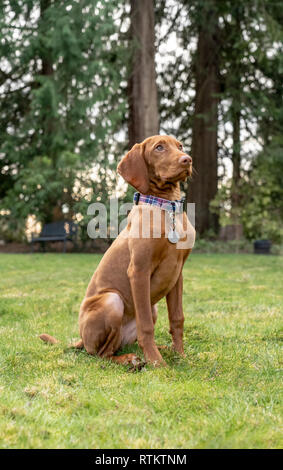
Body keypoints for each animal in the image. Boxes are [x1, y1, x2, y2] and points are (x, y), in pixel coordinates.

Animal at [40, 136, 195, 368]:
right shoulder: (139, 270)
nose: (187, 159)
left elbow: (177, 319)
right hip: (112, 301)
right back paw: (132, 360)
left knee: (120, 344)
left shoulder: (177, 274)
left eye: (180, 146)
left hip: (151, 308)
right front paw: (158, 363)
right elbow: (146, 327)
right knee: (102, 353)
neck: (166, 207)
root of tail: (81, 338)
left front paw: (180, 355)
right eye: (159, 147)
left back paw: (159, 350)